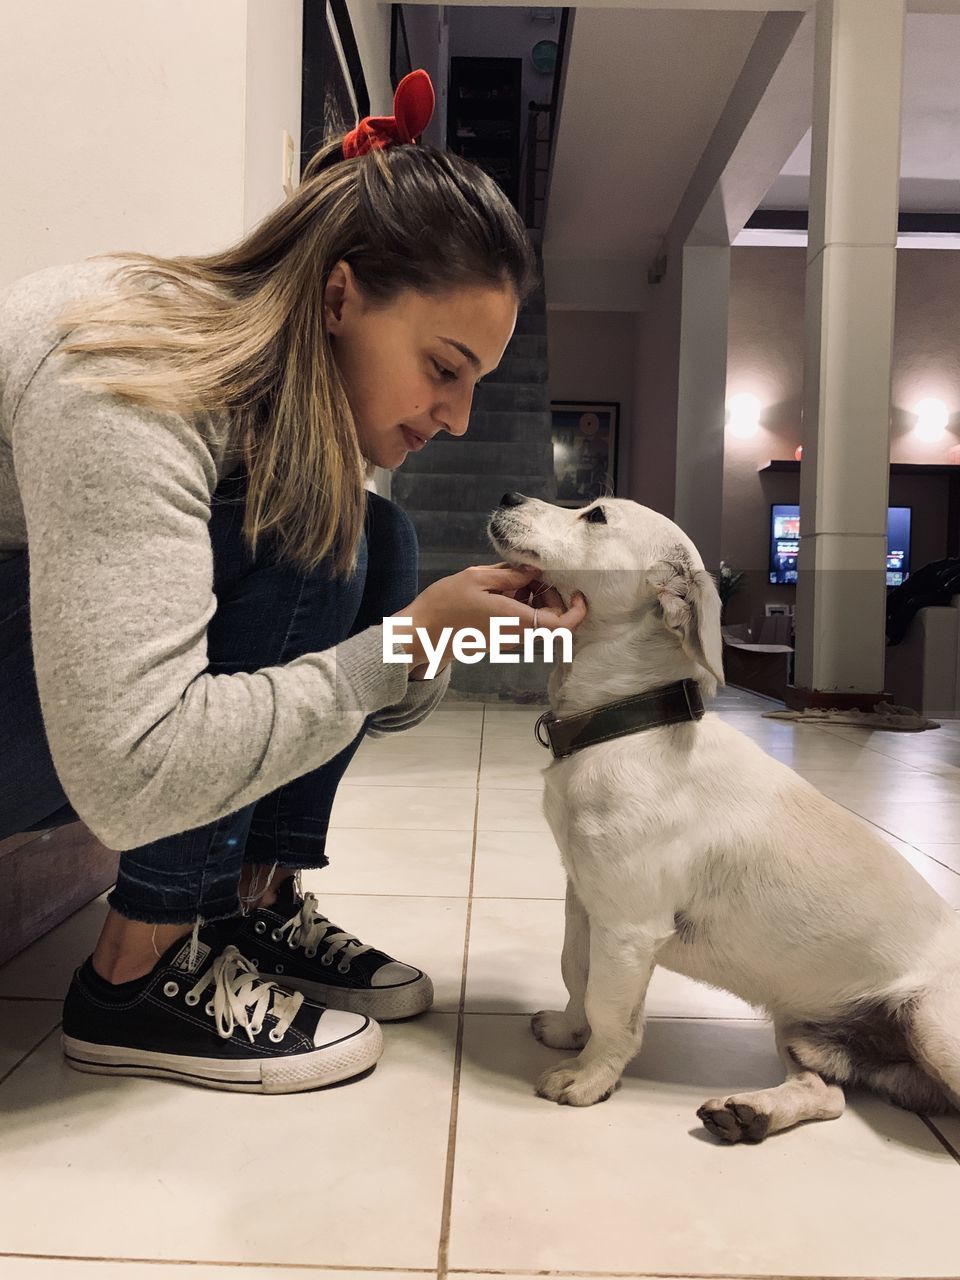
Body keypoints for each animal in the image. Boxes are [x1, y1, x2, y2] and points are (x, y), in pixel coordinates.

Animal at [488, 488, 960, 1141]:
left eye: (597, 516)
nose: (507, 495)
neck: (628, 724)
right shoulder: (584, 899)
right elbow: (574, 971)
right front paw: (566, 1032)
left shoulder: (629, 924)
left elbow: (610, 1006)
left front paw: (588, 1077)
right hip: (801, 1020)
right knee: (829, 1094)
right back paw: (748, 1114)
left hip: (934, 1027)